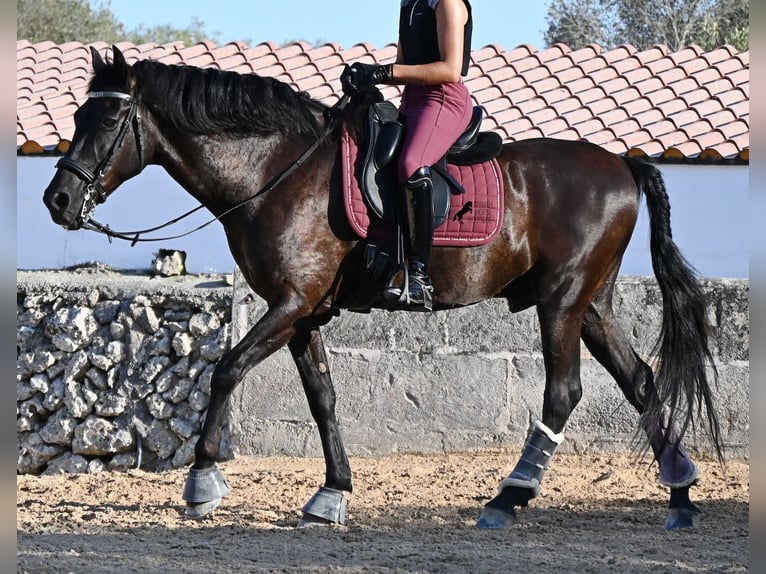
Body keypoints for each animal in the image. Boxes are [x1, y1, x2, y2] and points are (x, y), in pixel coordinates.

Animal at [42, 46, 722, 530]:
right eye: (76, 115)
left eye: (109, 118)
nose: (59, 200)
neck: (274, 171)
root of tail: (621, 163)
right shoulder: (304, 313)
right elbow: (323, 397)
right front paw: (332, 493)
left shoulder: (289, 304)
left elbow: (228, 369)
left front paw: (202, 482)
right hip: (590, 305)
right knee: (640, 381)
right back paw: (681, 495)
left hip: (561, 301)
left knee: (564, 392)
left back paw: (509, 497)